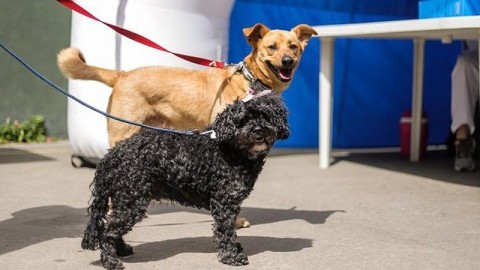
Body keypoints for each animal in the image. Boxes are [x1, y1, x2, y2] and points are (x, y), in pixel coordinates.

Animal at [58, 23, 316, 228]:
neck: (252, 81)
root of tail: (121, 75)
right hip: (123, 134)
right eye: (272, 47)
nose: (288, 61)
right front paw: (233, 221)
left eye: (293, 46)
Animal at [81, 94, 288, 268]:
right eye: (242, 120)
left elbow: (229, 229)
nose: (258, 130)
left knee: (113, 226)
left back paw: (121, 250)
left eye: (264, 116)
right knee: (108, 231)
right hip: (132, 202)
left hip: (124, 200)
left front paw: (235, 248)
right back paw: (110, 261)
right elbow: (225, 230)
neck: (232, 150)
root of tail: (112, 155)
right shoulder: (224, 203)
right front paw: (231, 256)